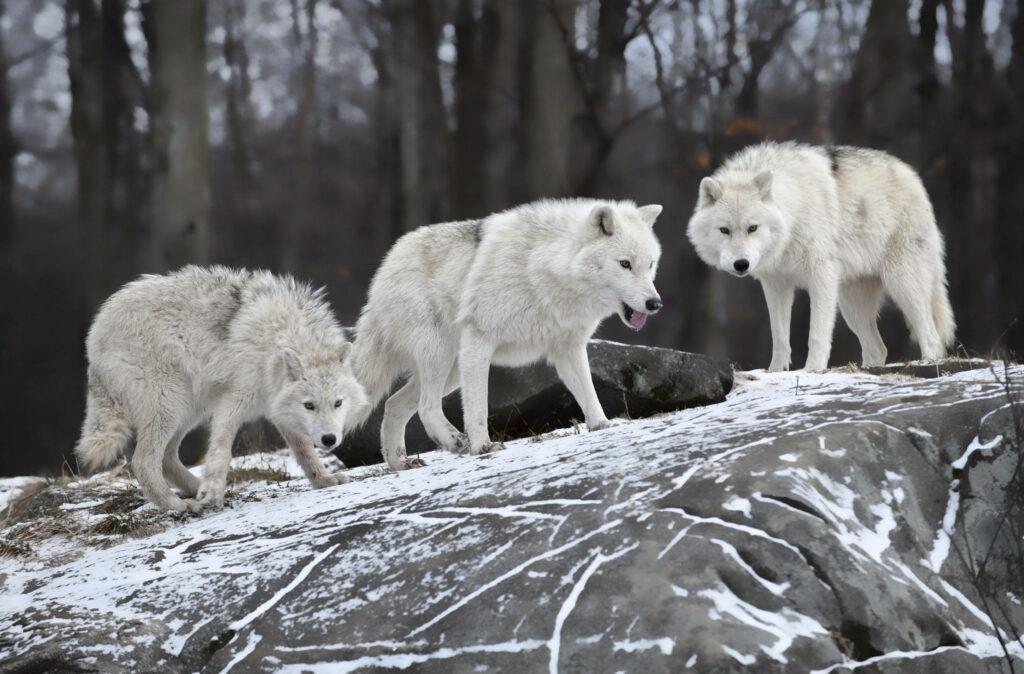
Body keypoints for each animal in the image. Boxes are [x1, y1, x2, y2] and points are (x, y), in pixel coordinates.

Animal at [74, 266, 368, 512]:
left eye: (338, 403)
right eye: (310, 405)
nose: (330, 439)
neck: (276, 340)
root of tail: (94, 334)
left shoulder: (277, 407)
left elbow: (305, 451)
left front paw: (324, 480)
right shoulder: (233, 400)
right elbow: (221, 450)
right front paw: (212, 493)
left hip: (190, 408)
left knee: (167, 458)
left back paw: (196, 490)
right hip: (171, 403)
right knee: (143, 462)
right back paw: (179, 505)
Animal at [348, 198, 663, 469]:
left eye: (650, 264)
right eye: (625, 264)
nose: (655, 304)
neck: (546, 269)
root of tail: (386, 264)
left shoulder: (568, 349)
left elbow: (588, 393)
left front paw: (602, 426)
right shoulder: (479, 340)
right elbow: (478, 407)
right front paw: (483, 447)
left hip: (452, 368)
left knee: (394, 404)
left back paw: (400, 463)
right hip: (441, 355)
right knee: (426, 406)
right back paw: (454, 442)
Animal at [687, 141, 955, 371]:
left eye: (752, 228)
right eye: (724, 230)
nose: (741, 264)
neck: (793, 212)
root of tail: (912, 175)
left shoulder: (821, 276)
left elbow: (816, 334)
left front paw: (813, 369)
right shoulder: (776, 284)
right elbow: (779, 337)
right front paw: (775, 371)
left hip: (901, 284)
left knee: (931, 336)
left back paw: (929, 362)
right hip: (851, 305)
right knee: (878, 349)